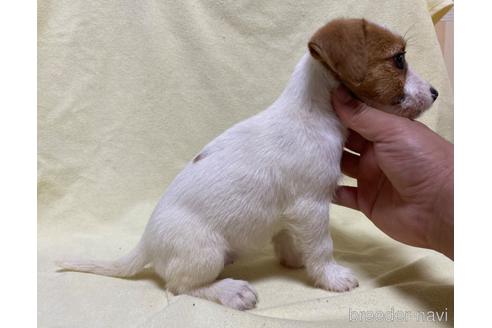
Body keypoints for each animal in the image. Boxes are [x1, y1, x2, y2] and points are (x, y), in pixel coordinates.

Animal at [57, 18, 438, 310]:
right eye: (399, 59)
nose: (435, 92)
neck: (310, 112)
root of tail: (146, 243)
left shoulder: (292, 212)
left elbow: (288, 238)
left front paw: (294, 259)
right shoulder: (311, 206)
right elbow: (322, 247)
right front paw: (330, 276)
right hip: (205, 250)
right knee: (179, 286)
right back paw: (230, 290)